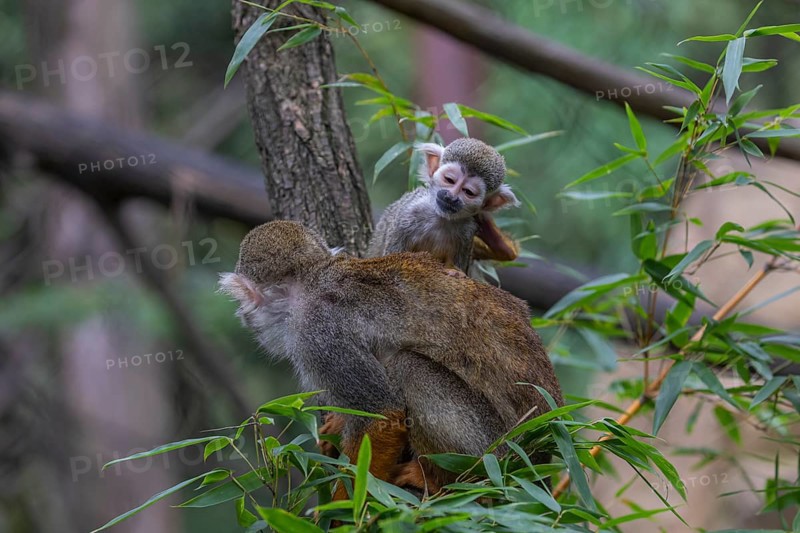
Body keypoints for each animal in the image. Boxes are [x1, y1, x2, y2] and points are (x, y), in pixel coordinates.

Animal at [219, 220, 563, 497]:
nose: (245, 317)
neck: (314, 282)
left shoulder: (318, 334)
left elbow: (382, 415)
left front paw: (345, 510)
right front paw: (336, 426)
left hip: (495, 451)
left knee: (409, 368)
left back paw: (437, 478)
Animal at [367, 138, 521, 275]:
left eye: (468, 192)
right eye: (449, 180)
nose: (451, 197)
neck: (440, 218)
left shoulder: (467, 232)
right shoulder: (407, 215)